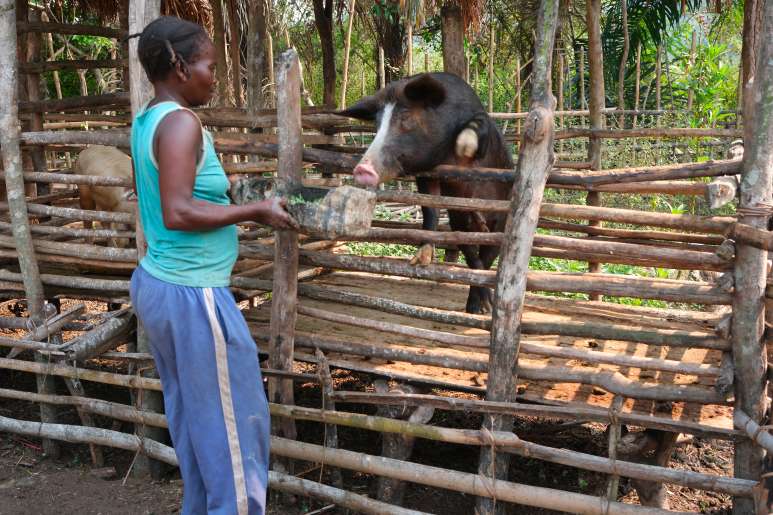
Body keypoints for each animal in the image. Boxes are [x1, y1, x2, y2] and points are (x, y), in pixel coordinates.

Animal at [338, 72, 512, 314]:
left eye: (406, 117)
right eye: (377, 123)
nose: (362, 169)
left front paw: (464, 145)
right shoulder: (432, 181)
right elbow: (431, 209)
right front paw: (420, 260)